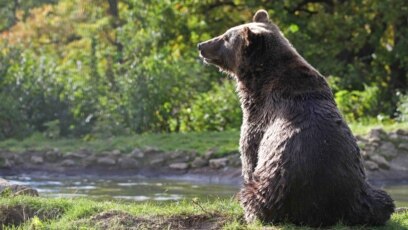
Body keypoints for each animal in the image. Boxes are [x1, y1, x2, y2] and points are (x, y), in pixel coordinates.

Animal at [198, 9, 396, 226]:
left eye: (226, 37)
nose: (201, 45)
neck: (259, 80)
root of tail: (326, 210)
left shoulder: (259, 119)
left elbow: (249, 154)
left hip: (276, 187)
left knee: (254, 195)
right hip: (364, 194)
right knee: (383, 201)